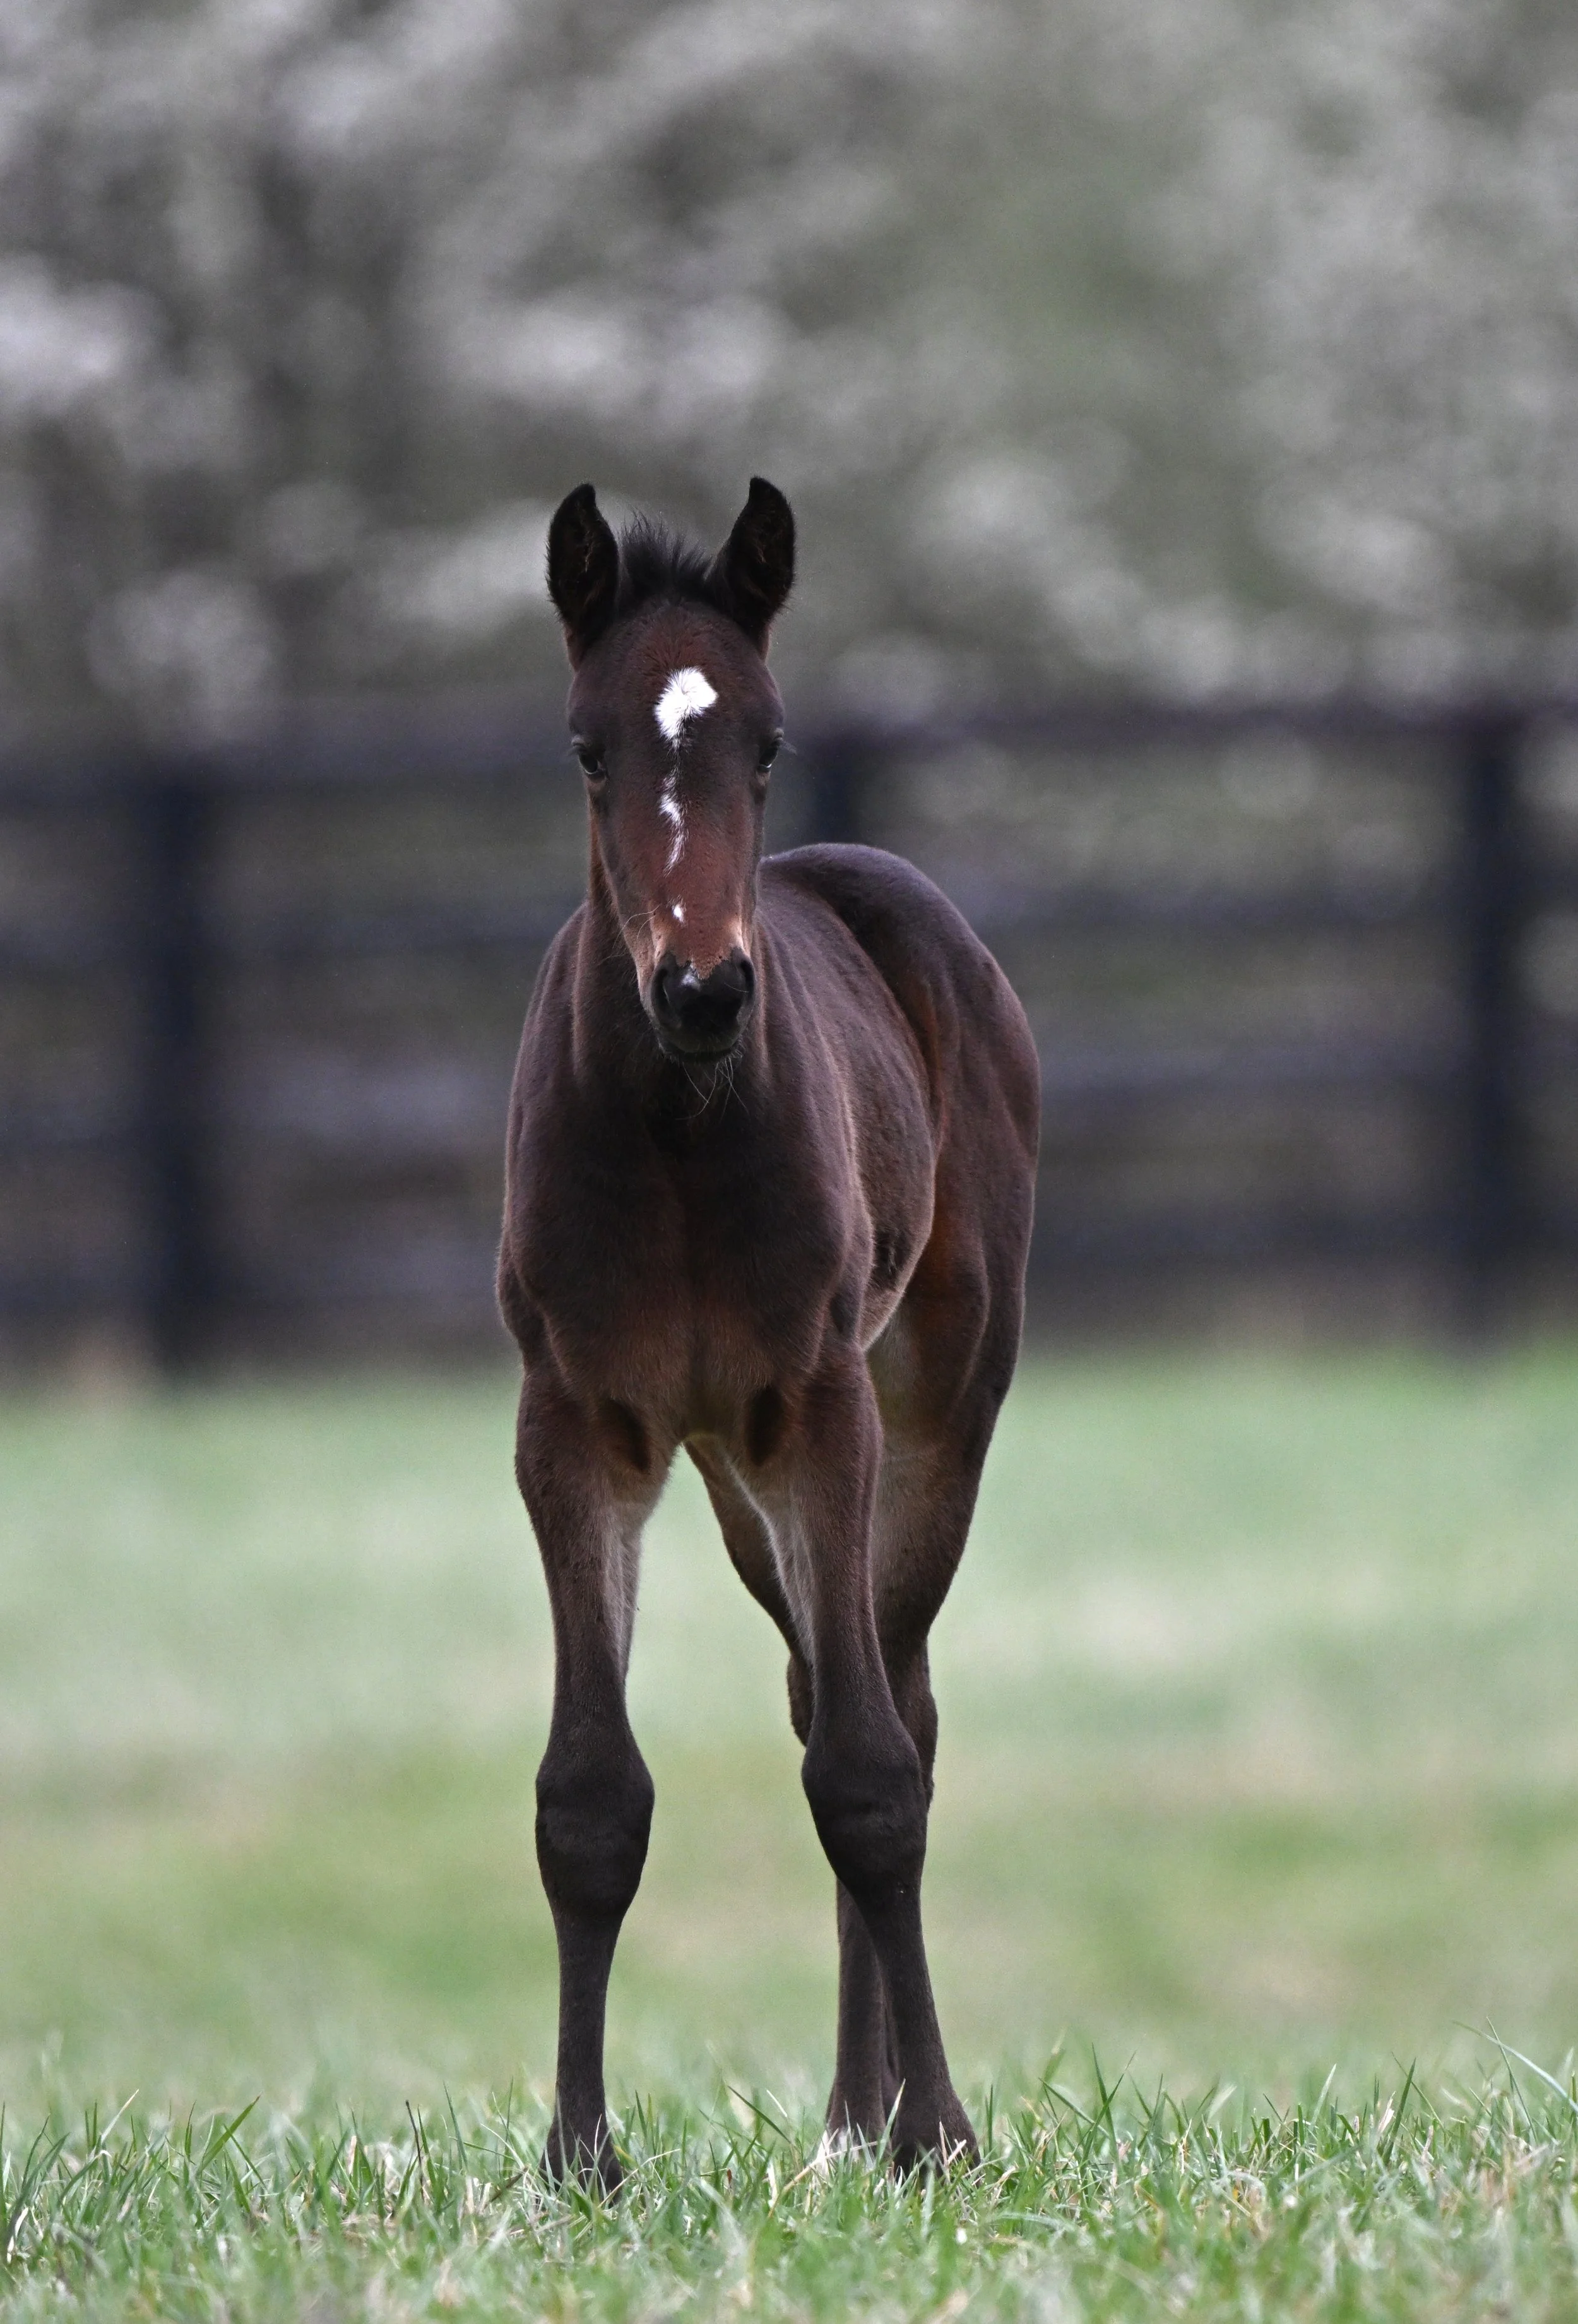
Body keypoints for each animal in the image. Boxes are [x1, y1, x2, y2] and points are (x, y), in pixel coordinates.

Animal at [497, 476, 1039, 2187]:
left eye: (768, 739)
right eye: (588, 747)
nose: (704, 990)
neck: (677, 1131)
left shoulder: (821, 1398)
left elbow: (870, 1779)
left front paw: (939, 2134)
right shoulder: (575, 1422)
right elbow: (588, 1796)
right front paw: (579, 2158)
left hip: (931, 1408)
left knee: (897, 1700)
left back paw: (884, 2118)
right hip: (735, 1471)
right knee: (818, 1677)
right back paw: (847, 2114)